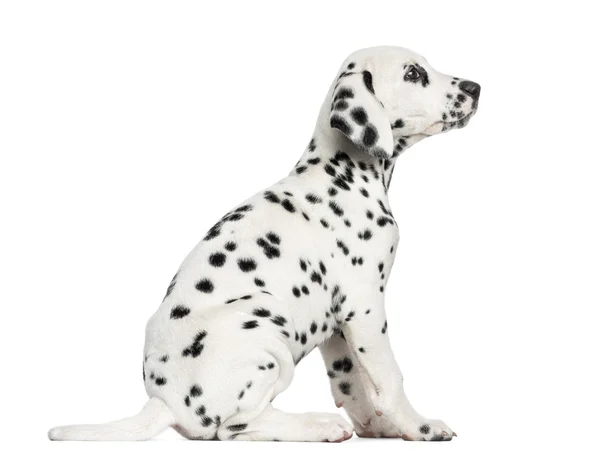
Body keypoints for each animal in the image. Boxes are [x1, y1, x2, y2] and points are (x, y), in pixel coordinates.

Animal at [48, 46, 478, 442]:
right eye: (413, 73)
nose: (475, 87)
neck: (343, 175)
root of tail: (164, 402)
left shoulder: (339, 324)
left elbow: (352, 381)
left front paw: (380, 427)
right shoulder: (365, 306)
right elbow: (389, 378)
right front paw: (419, 427)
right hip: (266, 318)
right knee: (234, 427)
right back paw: (316, 424)